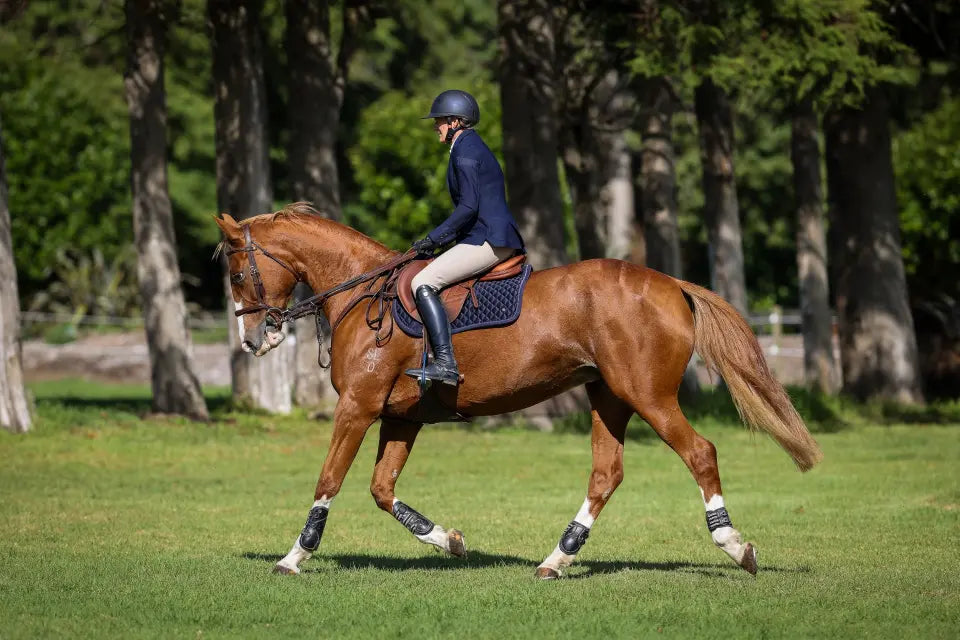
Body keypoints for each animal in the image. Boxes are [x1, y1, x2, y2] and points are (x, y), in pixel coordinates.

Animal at [215, 203, 822, 579]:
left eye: (239, 276)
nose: (253, 339)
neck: (364, 292)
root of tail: (670, 283)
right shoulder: (399, 416)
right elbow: (382, 490)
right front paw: (449, 541)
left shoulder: (357, 408)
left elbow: (330, 480)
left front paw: (293, 558)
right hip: (609, 398)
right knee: (606, 474)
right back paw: (557, 559)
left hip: (648, 395)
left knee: (700, 452)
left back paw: (735, 546)